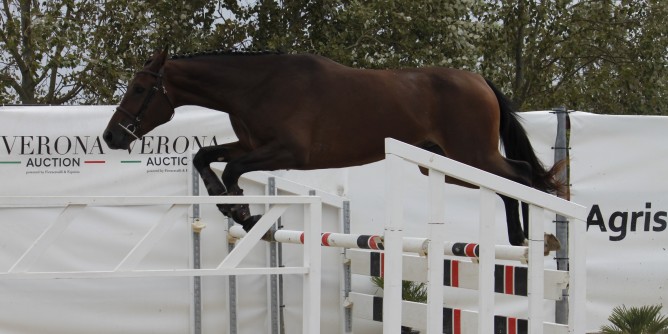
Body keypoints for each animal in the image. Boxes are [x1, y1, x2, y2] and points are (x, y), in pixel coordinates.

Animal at [103, 49, 564, 248]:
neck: (257, 86)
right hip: (448, 164)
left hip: (469, 157)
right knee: (512, 181)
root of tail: (479, 80)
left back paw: (531, 242)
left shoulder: (287, 153)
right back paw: (517, 244)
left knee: (523, 177)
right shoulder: (252, 144)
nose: (111, 137)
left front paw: (244, 213)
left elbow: (232, 171)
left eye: (140, 89)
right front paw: (227, 204)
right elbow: (204, 157)